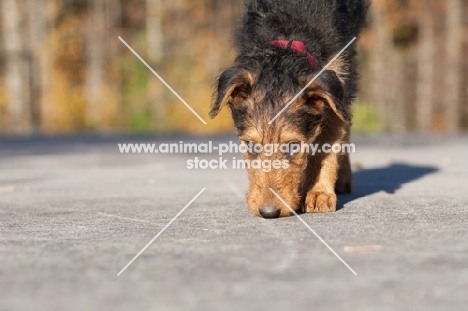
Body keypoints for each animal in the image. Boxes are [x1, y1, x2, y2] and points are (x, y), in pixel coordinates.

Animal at [210, 0, 368, 219]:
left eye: (293, 146)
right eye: (250, 145)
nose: (268, 212)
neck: (288, 39)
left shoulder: (338, 79)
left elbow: (327, 148)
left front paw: (318, 194)